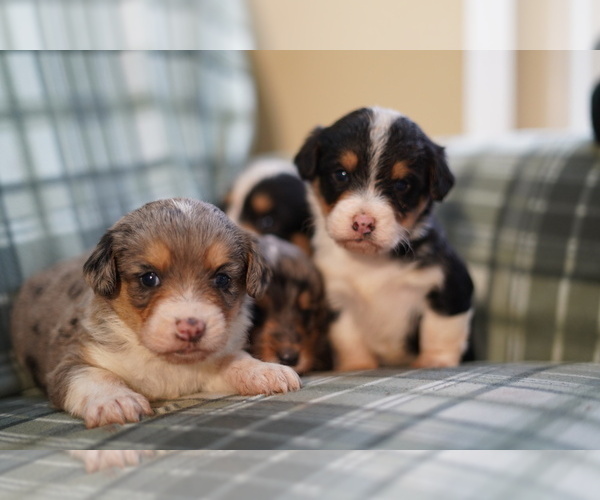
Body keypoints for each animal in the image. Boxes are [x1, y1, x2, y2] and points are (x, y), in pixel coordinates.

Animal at [12, 197, 304, 428]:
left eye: (222, 279)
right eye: (149, 278)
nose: (191, 328)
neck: (163, 361)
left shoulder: (210, 367)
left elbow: (235, 360)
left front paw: (265, 371)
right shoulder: (69, 361)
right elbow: (94, 375)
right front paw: (115, 400)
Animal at [294, 106, 474, 372]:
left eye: (401, 184)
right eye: (341, 174)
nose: (363, 223)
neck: (371, 263)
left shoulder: (450, 285)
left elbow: (440, 330)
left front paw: (435, 361)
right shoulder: (338, 299)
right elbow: (348, 338)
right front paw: (357, 366)